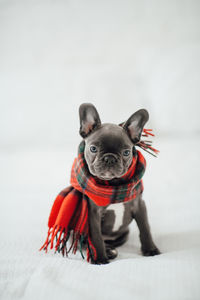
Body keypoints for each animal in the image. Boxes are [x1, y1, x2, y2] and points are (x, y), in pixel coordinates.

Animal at [78, 103, 161, 264]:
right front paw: (100, 258)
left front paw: (150, 249)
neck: (114, 183)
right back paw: (107, 252)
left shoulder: (139, 205)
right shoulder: (93, 213)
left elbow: (145, 228)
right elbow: (96, 237)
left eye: (126, 152)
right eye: (93, 149)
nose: (110, 158)